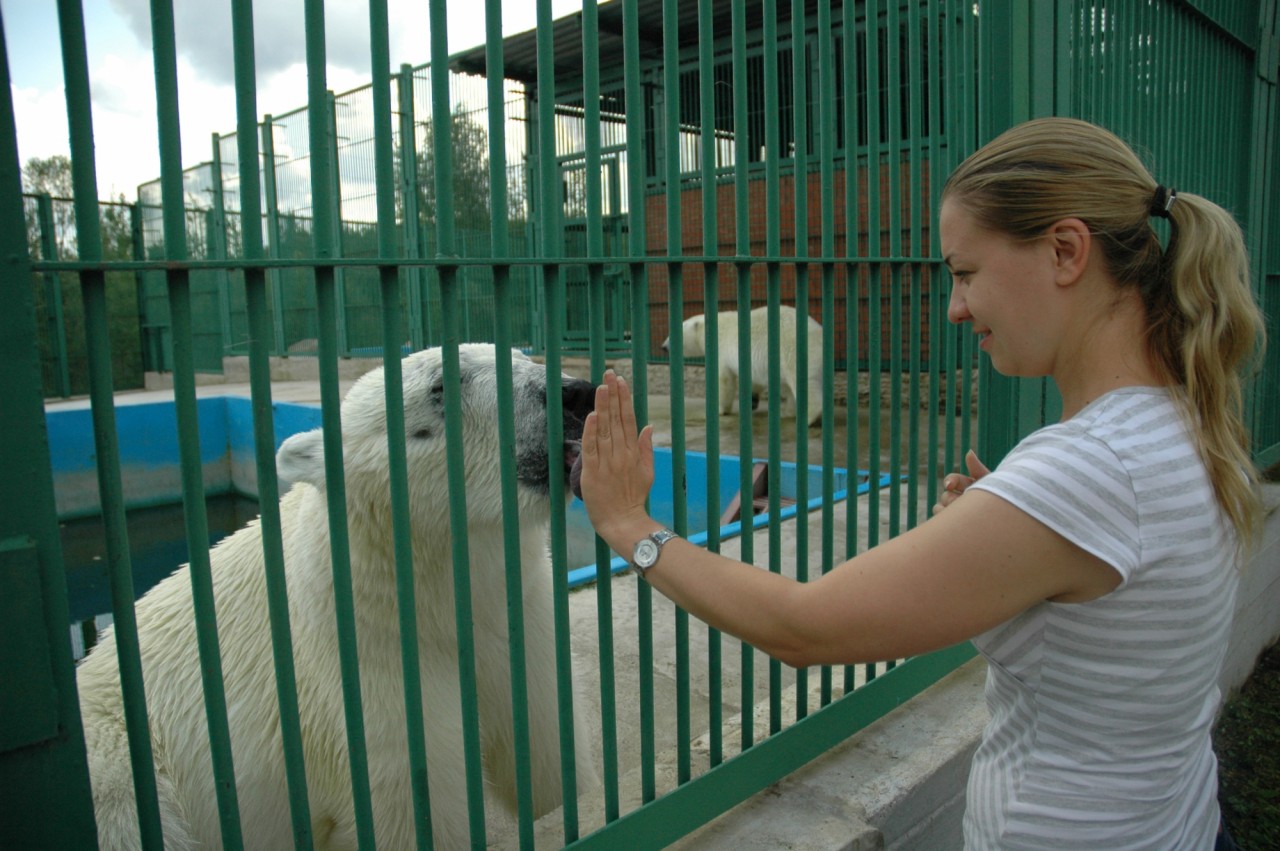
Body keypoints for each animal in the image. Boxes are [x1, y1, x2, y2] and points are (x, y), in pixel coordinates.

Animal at [74, 345, 599, 849]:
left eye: (521, 354)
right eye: (442, 384)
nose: (573, 393)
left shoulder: (515, 612)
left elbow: (546, 739)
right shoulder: (364, 660)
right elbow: (416, 799)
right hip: (119, 759)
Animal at [665, 303, 824, 427]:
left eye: (673, 334)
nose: (664, 346)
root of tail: (819, 332)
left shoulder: (722, 349)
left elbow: (724, 380)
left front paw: (721, 409)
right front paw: (752, 400)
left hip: (792, 349)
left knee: (802, 382)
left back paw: (808, 418)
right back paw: (788, 412)